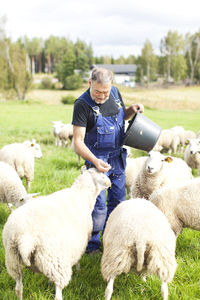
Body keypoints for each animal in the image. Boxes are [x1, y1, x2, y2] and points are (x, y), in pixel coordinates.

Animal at [2, 168, 111, 300]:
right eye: (102, 175)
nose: (110, 184)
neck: (81, 193)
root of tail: (25, 238)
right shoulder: (81, 242)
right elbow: (79, 258)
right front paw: (78, 270)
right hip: (57, 263)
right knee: (58, 294)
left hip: (13, 261)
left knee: (18, 289)